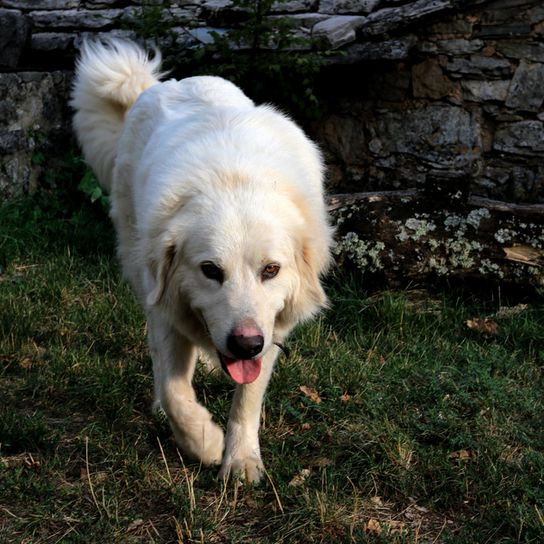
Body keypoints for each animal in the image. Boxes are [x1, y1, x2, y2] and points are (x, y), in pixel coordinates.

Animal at [71, 40, 332, 482]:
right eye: (211, 270)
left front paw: (241, 460)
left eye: (271, 270)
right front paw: (205, 442)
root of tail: (162, 85)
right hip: (142, 269)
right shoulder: (167, 307)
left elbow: (248, 399)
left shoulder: (272, 328)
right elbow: (175, 389)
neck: (235, 181)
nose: (246, 344)